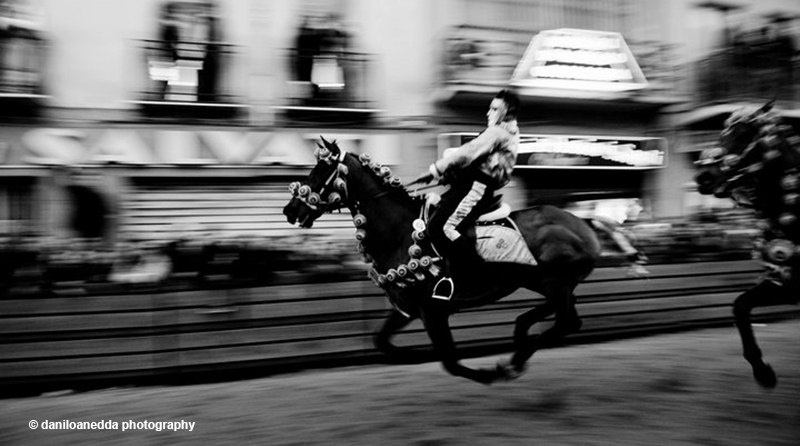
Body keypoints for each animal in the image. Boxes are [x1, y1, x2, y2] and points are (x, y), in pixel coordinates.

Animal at [282, 137, 600, 384]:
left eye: (321, 170)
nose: (290, 209)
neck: (400, 232)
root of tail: (583, 226)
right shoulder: (407, 308)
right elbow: (381, 340)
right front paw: (412, 355)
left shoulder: (433, 311)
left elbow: (450, 361)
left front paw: (488, 374)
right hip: (544, 282)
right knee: (564, 317)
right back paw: (521, 337)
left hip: (553, 282)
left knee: (567, 321)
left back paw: (517, 356)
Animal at [692, 103, 800, 388]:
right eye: (721, 134)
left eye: (743, 135)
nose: (703, 176)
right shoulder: (782, 284)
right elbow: (740, 306)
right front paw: (763, 372)